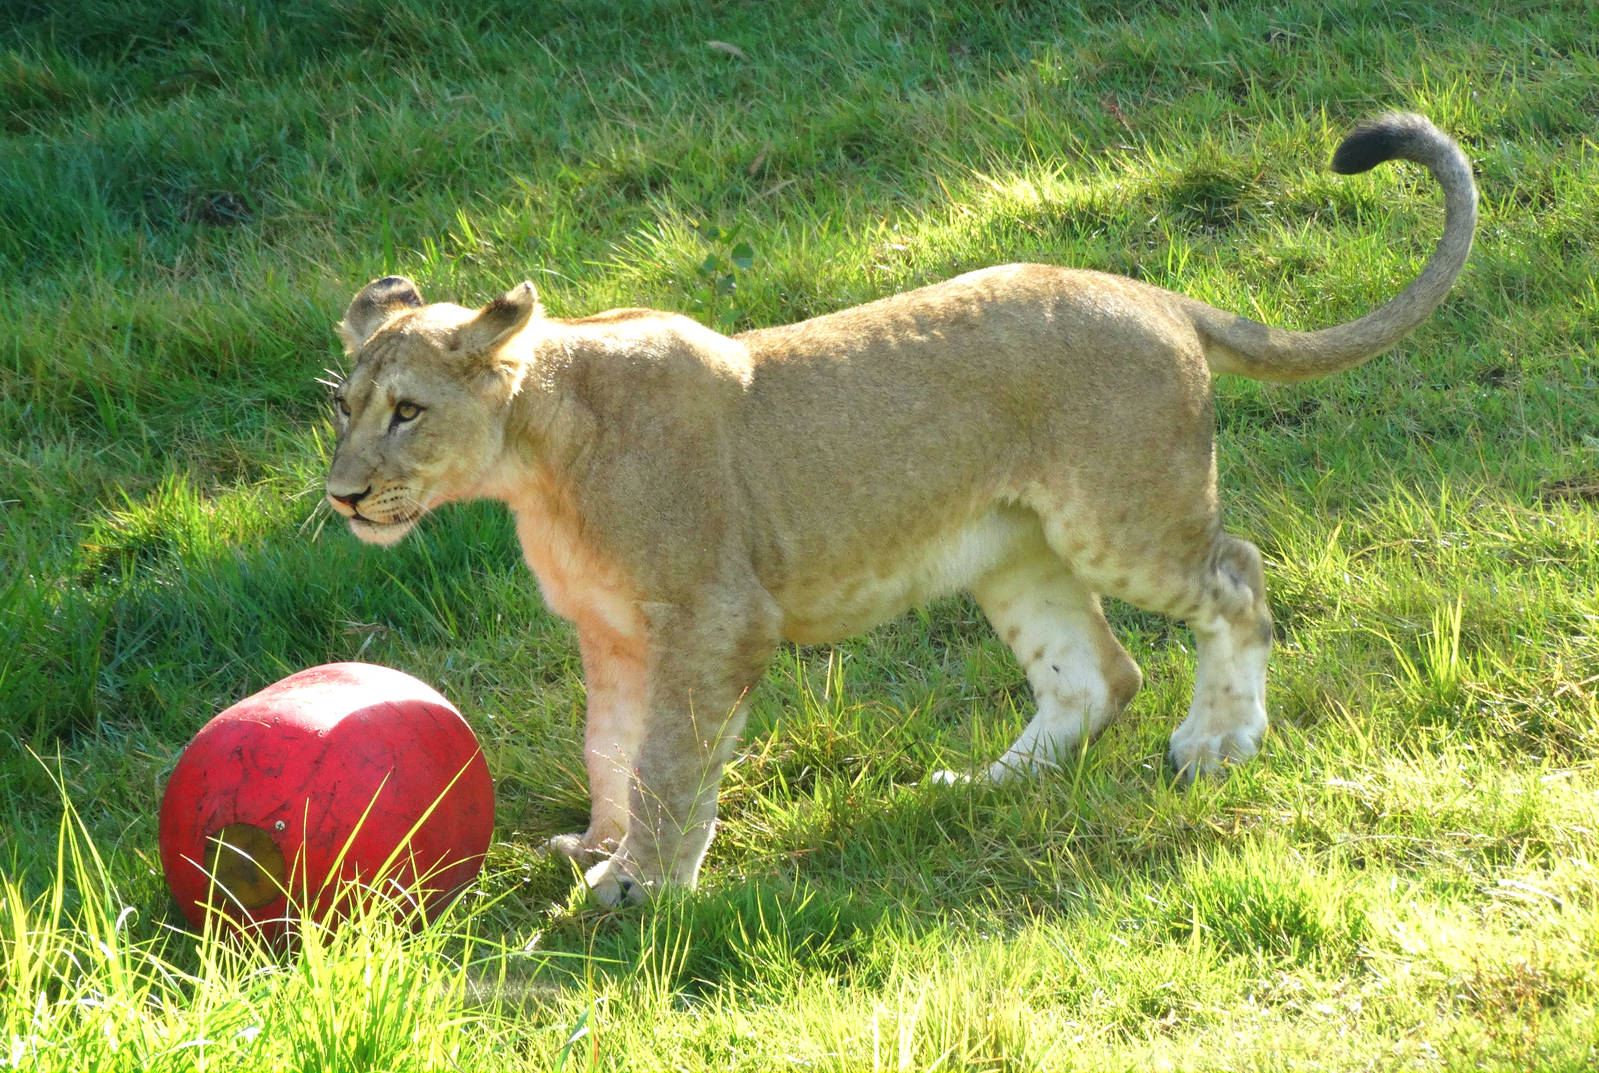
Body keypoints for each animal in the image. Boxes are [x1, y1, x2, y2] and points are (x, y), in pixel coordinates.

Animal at [326, 113, 1476, 905]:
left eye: (407, 411)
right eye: (343, 407)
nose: (342, 494)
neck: (537, 459)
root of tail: (1158, 296)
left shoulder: (713, 616)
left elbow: (667, 760)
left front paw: (637, 885)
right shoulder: (611, 633)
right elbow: (610, 746)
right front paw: (600, 848)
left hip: (1124, 522)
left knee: (1235, 575)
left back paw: (1216, 741)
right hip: (1013, 551)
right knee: (1099, 673)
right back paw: (976, 784)